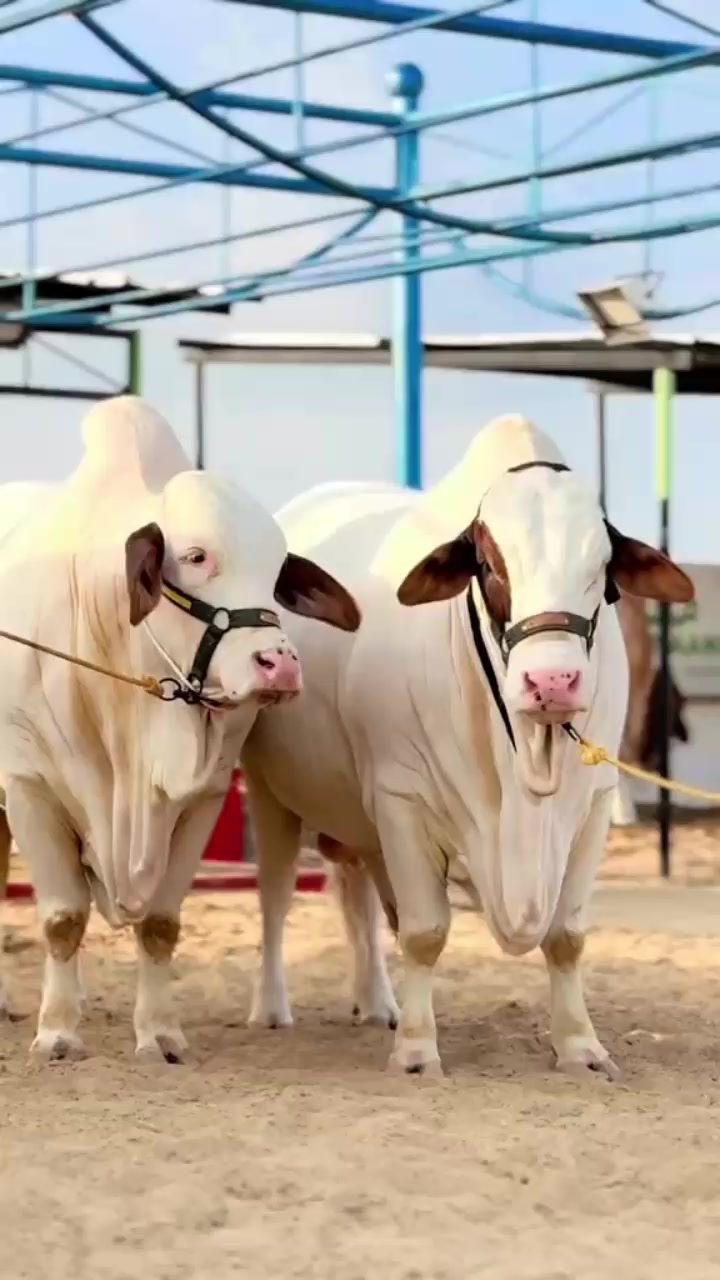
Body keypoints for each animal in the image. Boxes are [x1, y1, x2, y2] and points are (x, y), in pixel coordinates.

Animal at [0, 395, 359, 1061]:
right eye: (195, 557)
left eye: (277, 574)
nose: (279, 664)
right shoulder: (30, 786)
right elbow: (63, 918)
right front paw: (58, 1032)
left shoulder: (202, 800)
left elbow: (161, 926)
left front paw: (160, 1033)